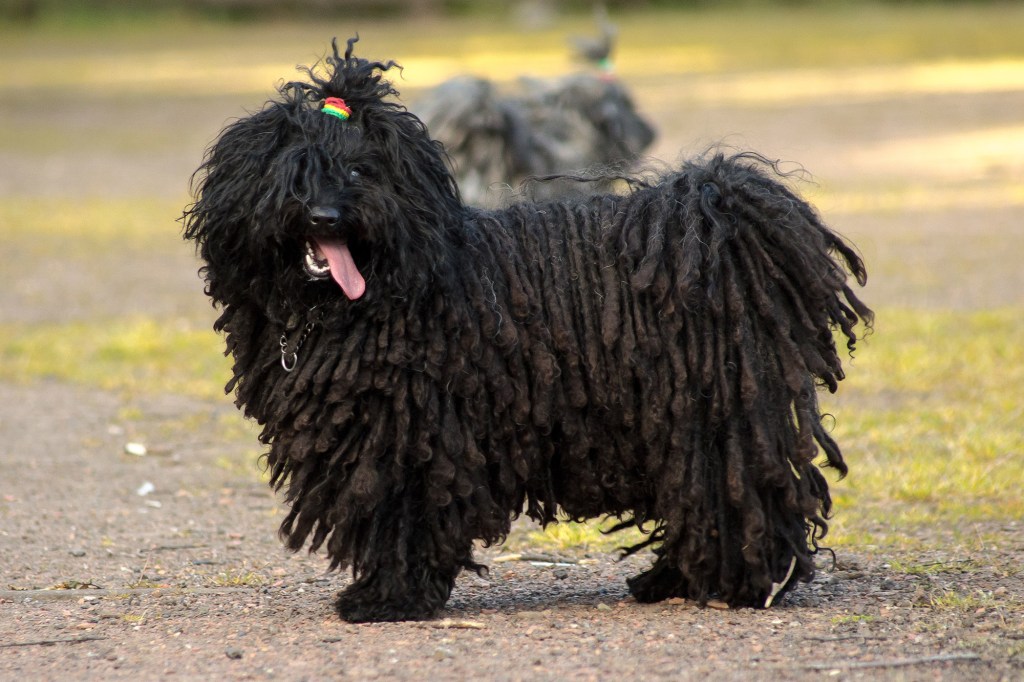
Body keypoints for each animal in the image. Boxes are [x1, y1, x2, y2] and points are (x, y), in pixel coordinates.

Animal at [184, 35, 872, 622]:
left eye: (360, 172)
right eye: (297, 171)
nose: (328, 215)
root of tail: (719, 216)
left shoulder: (407, 431)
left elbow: (401, 512)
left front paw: (387, 597)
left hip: (718, 407)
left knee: (738, 492)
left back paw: (741, 585)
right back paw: (673, 579)